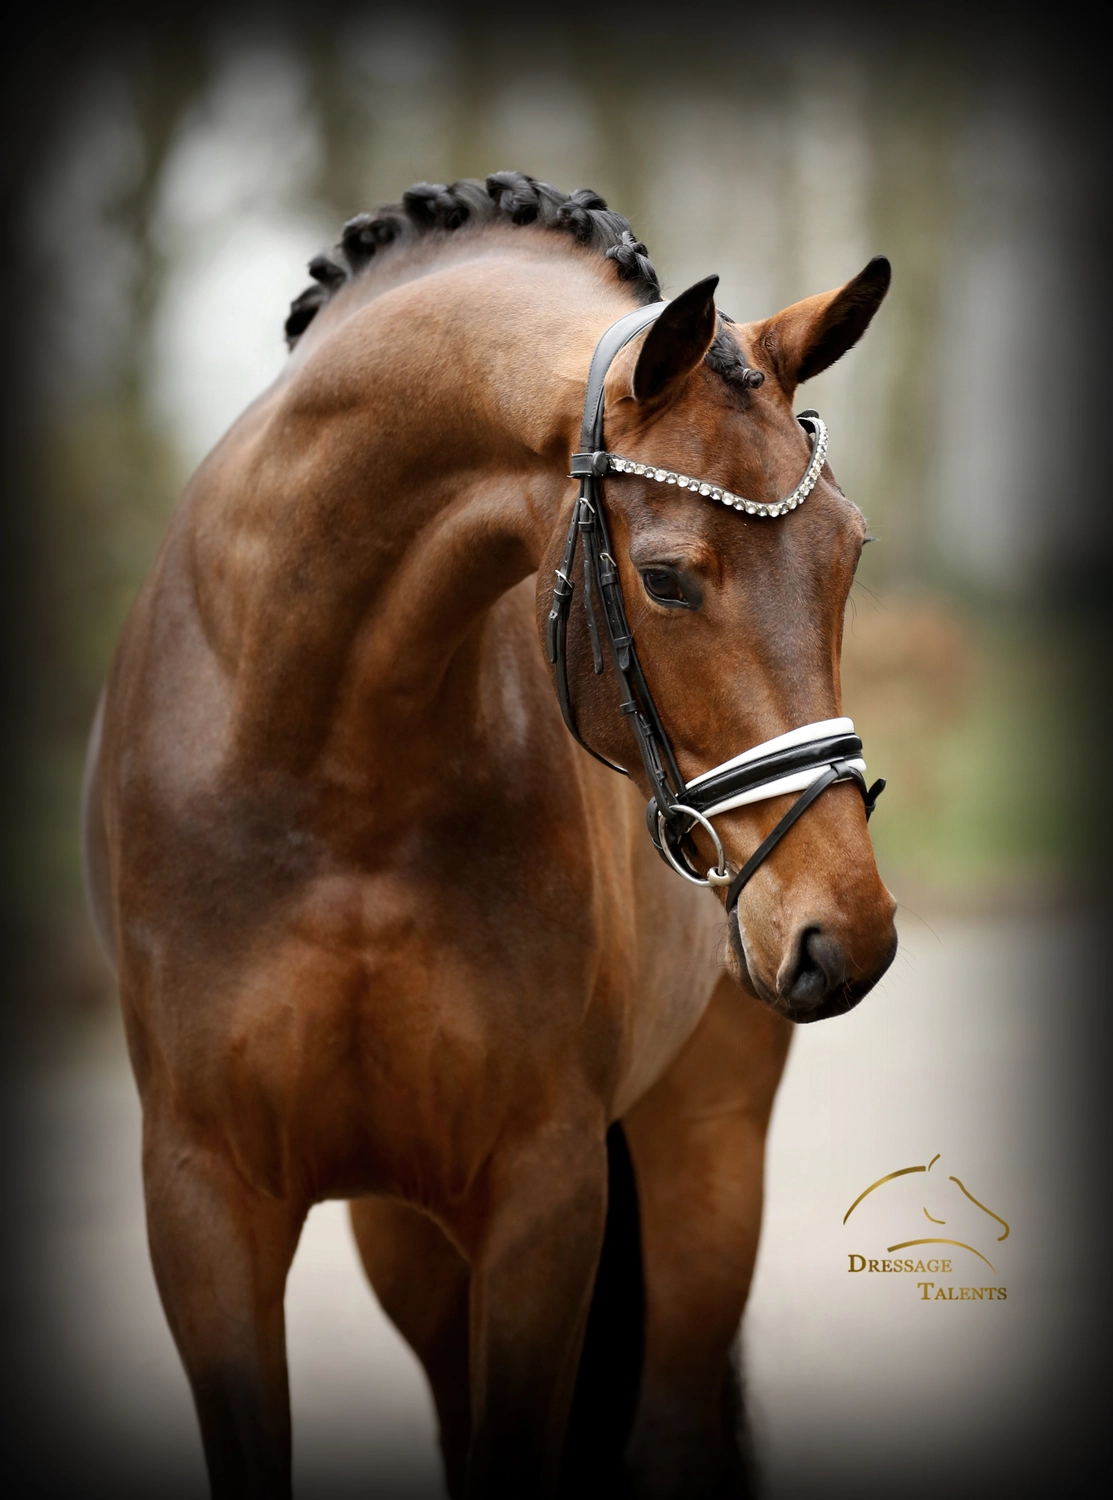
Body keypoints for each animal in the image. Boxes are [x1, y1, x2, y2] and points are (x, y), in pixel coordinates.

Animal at [82, 171, 898, 1499]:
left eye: (850, 553)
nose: (849, 934)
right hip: (406, 1236)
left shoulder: (543, 1198)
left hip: (707, 1148)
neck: (336, 775)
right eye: (667, 579)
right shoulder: (204, 1202)